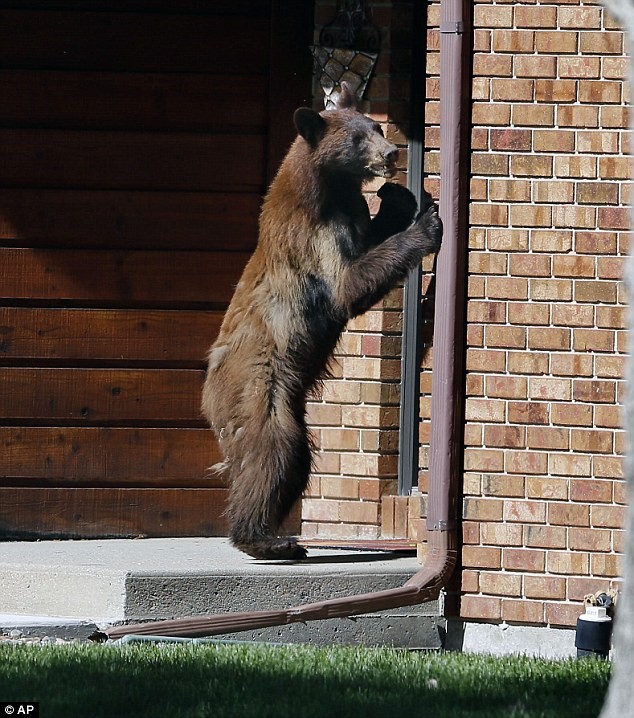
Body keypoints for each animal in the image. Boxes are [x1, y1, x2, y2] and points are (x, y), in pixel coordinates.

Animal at [202, 81, 440, 560]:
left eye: (376, 126)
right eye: (357, 138)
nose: (391, 152)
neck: (326, 188)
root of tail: (207, 393)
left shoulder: (351, 214)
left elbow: (372, 239)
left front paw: (398, 198)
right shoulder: (315, 236)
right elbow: (350, 284)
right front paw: (426, 224)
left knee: (297, 458)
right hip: (260, 386)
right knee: (273, 450)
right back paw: (264, 538)